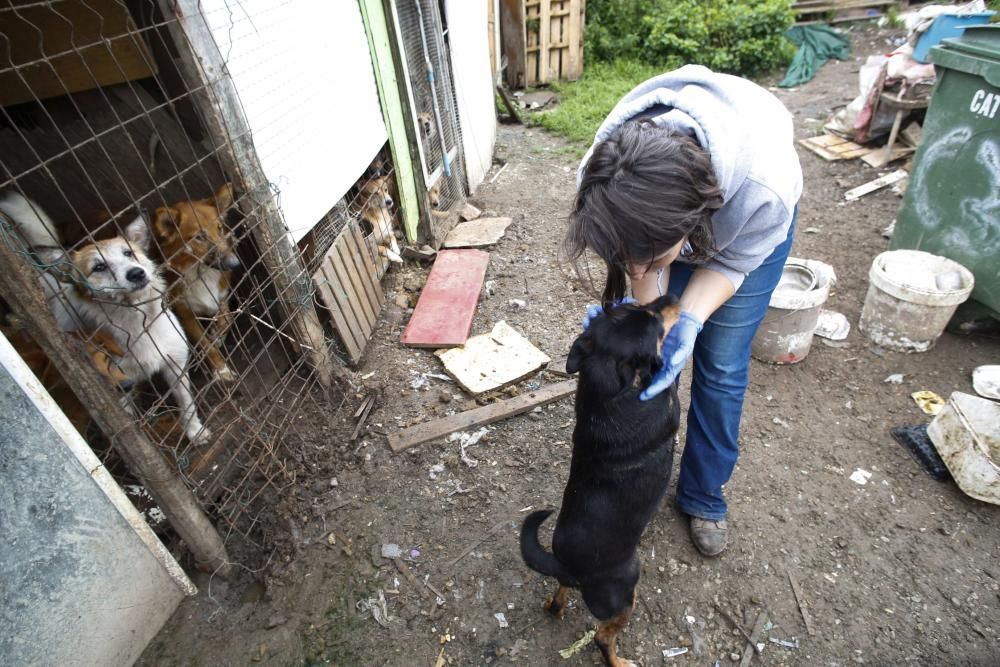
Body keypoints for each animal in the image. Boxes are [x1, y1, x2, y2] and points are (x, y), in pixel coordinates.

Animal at [0, 190, 211, 446]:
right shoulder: (119, 382)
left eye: (128, 253)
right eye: (99, 267)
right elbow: (131, 420)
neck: (138, 322)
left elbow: (187, 404)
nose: (136, 273)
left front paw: (195, 432)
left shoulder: (176, 364)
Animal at [150, 184, 240, 380]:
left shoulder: (221, 296)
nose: (235, 264)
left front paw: (217, 335)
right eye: (200, 237)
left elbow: (227, 319)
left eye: (219, 228)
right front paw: (222, 370)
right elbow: (207, 346)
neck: (202, 272)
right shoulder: (186, 316)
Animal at [520, 298, 684, 667]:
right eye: (655, 321)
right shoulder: (668, 400)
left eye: (639, 305)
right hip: (627, 591)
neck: (607, 391)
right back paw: (620, 661)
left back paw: (555, 607)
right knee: (602, 637)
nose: (672, 298)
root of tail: (568, 565)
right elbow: (668, 380)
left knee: (561, 590)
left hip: (572, 579)